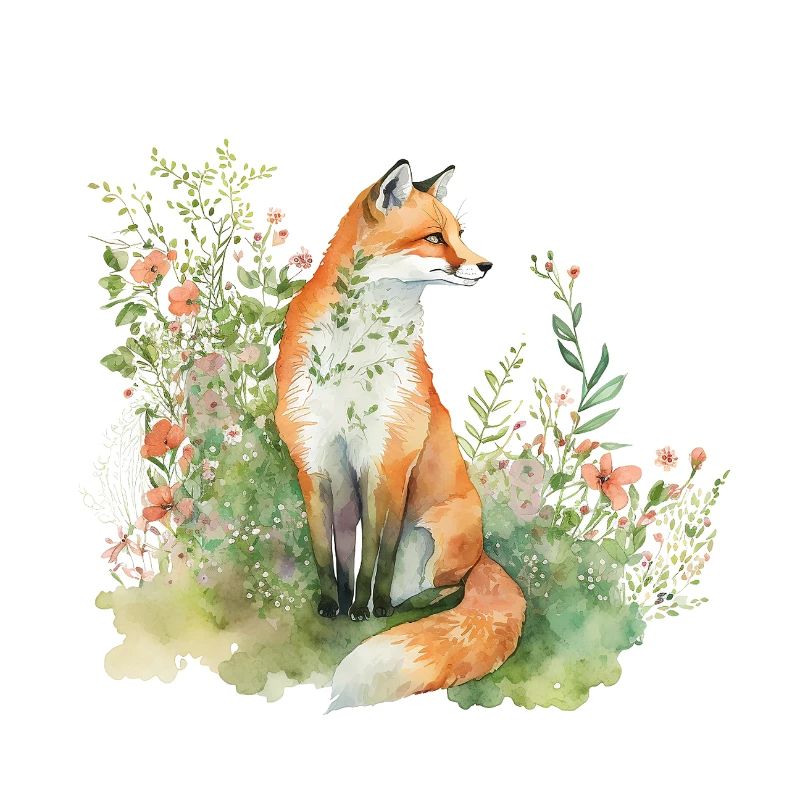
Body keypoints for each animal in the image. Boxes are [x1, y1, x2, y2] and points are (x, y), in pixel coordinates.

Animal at [274, 160, 526, 709]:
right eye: (435, 238)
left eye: (459, 234)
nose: (486, 265)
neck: (352, 355)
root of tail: (485, 552)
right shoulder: (316, 459)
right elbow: (330, 553)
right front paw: (332, 604)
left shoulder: (387, 458)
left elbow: (376, 554)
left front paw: (370, 608)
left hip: (438, 533)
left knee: (449, 584)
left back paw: (408, 603)